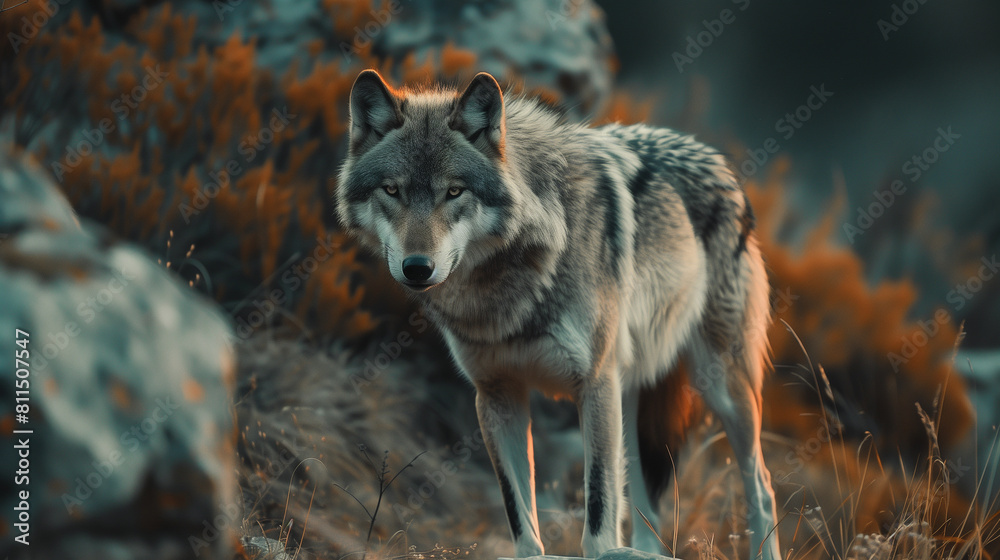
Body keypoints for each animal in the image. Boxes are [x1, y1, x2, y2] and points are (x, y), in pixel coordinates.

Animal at [337, 69, 781, 560]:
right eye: (391, 190)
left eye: (454, 191)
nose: (417, 267)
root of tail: (718, 161)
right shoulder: (497, 395)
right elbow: (521, 517)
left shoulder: (594, 384)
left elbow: (599, 513)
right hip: (632, 402)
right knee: (649, 515)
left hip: (720, 388)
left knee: (761, 487)